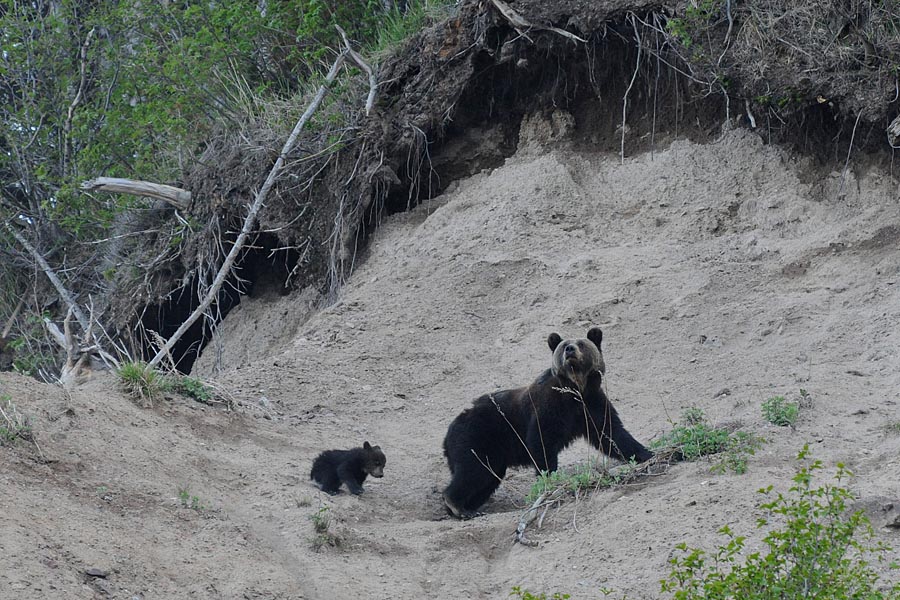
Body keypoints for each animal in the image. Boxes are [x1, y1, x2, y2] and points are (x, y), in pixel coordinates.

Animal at [442, 326, 648, 516]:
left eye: (581, 343)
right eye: (564, 345)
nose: (570, 350)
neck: (576, 389)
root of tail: (448, 433)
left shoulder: (591, 405)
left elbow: (611, 434)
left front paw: (645, 453)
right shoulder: (549, 407)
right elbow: (542, 442)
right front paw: (550, 478)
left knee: (486, 478)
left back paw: (469, 506)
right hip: (477, 437)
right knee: (472, 471)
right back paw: (457, 506)